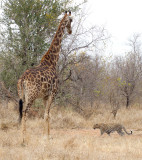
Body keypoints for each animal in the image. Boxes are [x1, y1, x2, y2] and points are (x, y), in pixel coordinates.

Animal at [17, 10, 72, 142]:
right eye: (71, 20)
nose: (70, 31)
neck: (52, 61)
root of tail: (22, 79)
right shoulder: (53, 93)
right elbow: (47, 114)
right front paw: (45, 136)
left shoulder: (44, 96)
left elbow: (46, 114)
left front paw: (47, 135)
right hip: (32, 95)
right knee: (25, 112)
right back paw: (24, 139)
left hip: (23, 95)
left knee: (21, 111)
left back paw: (21, 136)